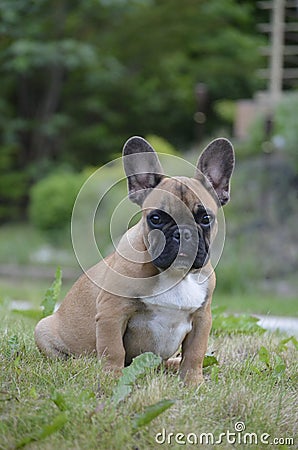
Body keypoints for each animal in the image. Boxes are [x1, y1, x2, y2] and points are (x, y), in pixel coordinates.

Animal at [35, 135, 234, 384]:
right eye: (156, 218)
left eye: (205, 218)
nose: (182, 232)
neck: (174, 274)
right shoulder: (112, 313)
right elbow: (113, 349)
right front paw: (112, 378)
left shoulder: (202, 318)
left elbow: (195, 353)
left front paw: (193, 382)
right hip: (42, 329)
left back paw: (173, 364)